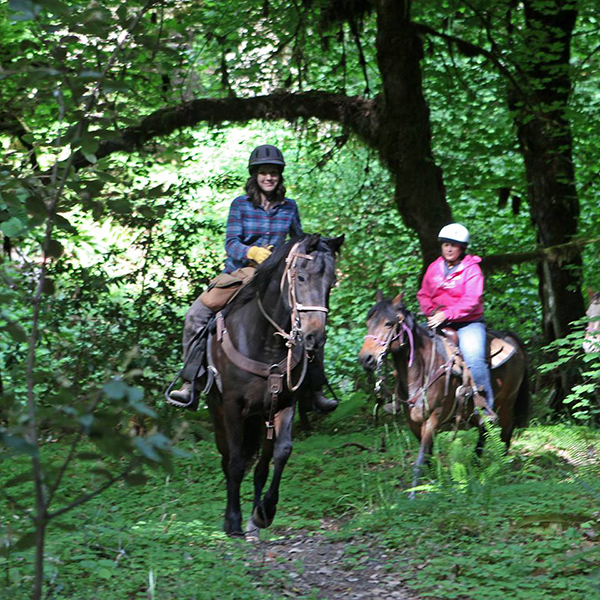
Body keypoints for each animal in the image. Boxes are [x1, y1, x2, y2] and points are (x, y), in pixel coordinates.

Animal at [203, 233, 342, 536]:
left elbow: (280, 454)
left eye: (332, 282)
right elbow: (235, 462)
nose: (314, 338)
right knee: (227, 458)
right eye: (301, 277)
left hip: (260, 417)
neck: (265, 342)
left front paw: (264, 512)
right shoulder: (231, 407)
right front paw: (233, 521)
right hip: (218, 413)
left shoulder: (284, 403)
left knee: (261, 464)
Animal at [358, 292, 528, 496]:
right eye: (368, 323)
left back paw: (502, 467)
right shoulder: (413, 423)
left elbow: (420, 458)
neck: (422, 370)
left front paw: (415, 494)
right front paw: (431, 484)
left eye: (388, 323)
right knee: (484, 431)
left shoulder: (434, 418)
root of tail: (510, 338)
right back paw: (476, 465)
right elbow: (427, 456)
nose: (366, 359)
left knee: (505, 432)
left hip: (507, 403)